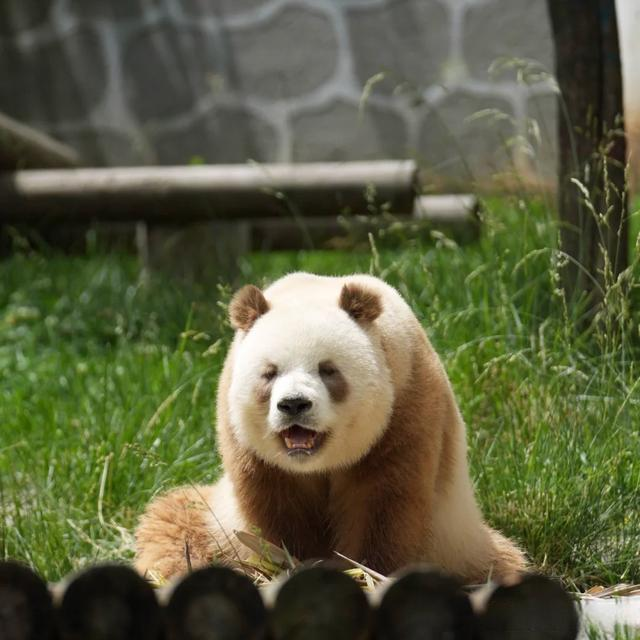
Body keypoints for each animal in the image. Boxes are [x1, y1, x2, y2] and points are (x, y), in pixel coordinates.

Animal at [134, 272, 527, 582]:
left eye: (328, 370)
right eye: (269, 373)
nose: (294, 405)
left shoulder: (404, 408)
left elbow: (386, 501)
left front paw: (366, 572)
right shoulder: (249, 445)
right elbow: (276, 508)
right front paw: (291, 564)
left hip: (460, 541)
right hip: (211, 521)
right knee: (173, 529)